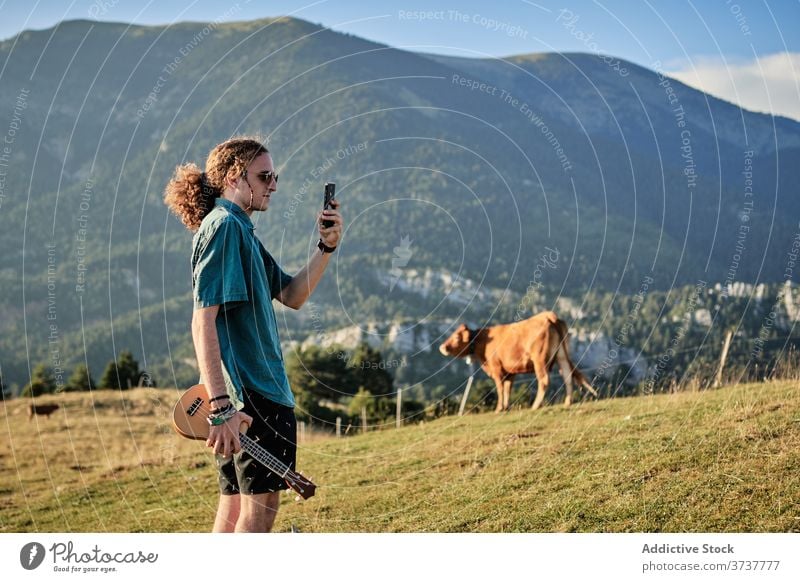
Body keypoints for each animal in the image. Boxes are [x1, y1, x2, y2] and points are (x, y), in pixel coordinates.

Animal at [440, 312, 596, 412]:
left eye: (456, 337)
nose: (442, 347)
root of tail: (548, 315)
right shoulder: (510, 371)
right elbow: (508, 388)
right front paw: (506, 407)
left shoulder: (497, 368)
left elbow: (500, 388)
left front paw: (499, 408)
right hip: (561, 355)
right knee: (567, 375)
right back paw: (568, 402)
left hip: (539, 359)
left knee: (544, 380)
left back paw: (536, 405)